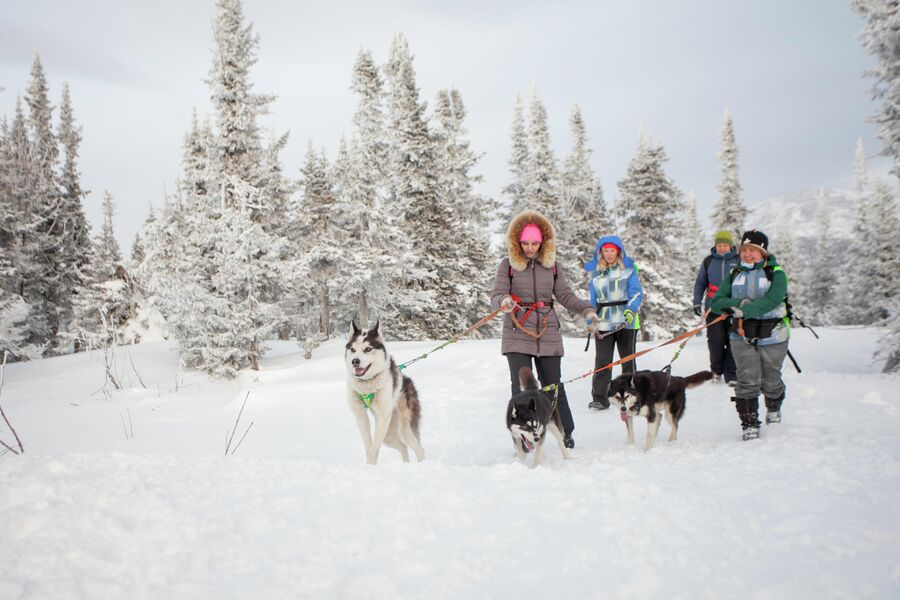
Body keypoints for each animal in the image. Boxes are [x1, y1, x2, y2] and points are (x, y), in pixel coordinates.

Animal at [346, 322, 428, 466]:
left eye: (368, 349)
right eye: (353, 349)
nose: (355, 361)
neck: (366, 385)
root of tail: (408, 381)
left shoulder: (382, 418)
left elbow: (373, 449)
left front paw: (371, 466)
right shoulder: (360, 416)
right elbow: (369, 446)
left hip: (404, 428)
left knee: (419, 449)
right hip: (389, 435)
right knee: (403, 446)